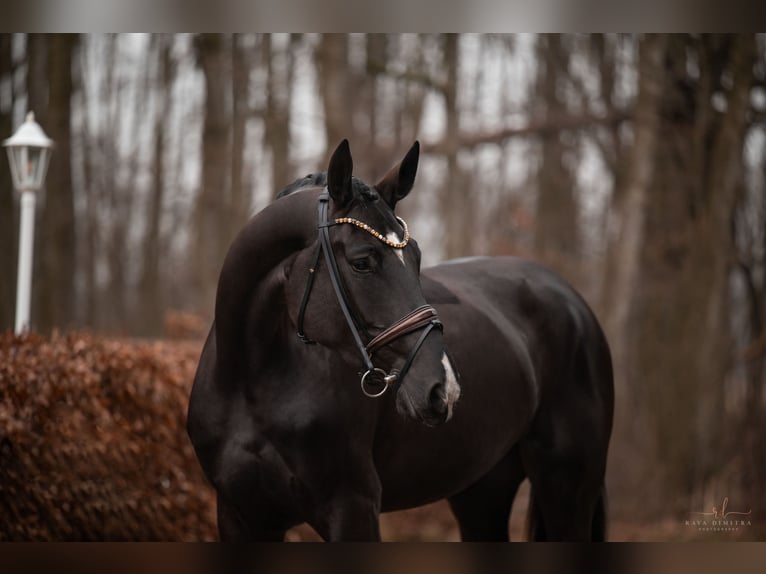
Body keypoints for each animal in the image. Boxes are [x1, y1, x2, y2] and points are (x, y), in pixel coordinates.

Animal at [189, 141, 616, 544]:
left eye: (416, 257)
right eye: (362, 261)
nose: (443, 388)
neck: (252, 379)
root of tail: (572, 302)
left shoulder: (352, 508)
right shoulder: (240, 517)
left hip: (566, 486)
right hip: (482, 490)